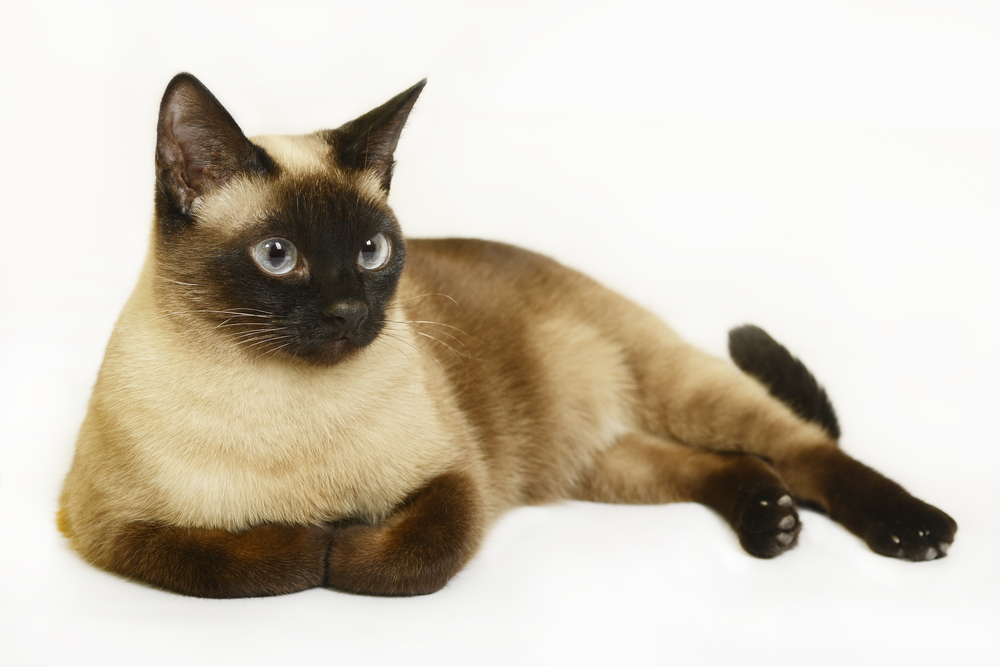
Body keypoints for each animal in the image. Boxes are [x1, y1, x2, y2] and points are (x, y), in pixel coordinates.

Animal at [58, 74, 956, 600]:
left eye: (371, 250)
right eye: (278, 256)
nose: (349, 311)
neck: (283, 405)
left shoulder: (460, 479)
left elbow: (401, 557)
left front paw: (342, 542)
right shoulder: (111, 529)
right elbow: (235, 560)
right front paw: (316, 536)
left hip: (668, 390)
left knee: (803, 448)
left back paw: (913, 531)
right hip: (598, 466)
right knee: (721, 464)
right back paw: (772, 522)